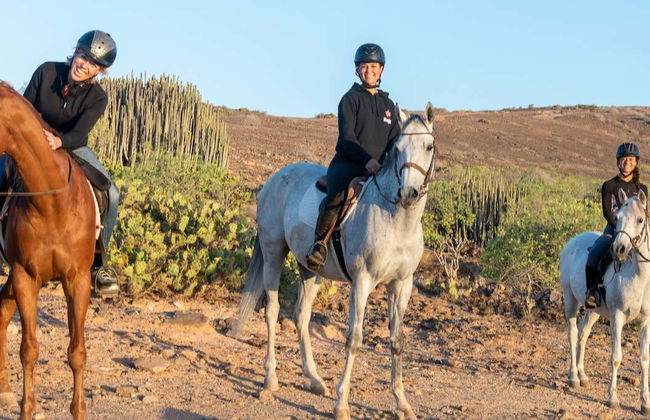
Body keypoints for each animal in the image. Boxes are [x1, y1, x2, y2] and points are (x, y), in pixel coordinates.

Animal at [0, 82, 96, 419]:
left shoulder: (78, 279)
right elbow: (29, 350)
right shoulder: (24, 277)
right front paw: (26, 411)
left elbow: (77, 352)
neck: (51, 204)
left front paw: (79, 411)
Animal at [232, 103, 437, 420]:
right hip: (273, 253)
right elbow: (354, 339)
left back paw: (314, 379)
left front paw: (402, 403)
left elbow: (397, 340)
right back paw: (270, 378)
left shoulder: (402, 284)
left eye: (428, 146)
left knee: (301, 316)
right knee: (272, 311)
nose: (408, 194)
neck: (396, 220)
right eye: (398, 149)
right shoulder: (362, 282)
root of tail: (274, 180)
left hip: (310, 270)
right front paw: (342, 404)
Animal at [560, 189, 650, 414]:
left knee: (583, 334)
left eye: (640, 219)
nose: (618, 249)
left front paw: (645, 403)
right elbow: (616, 357)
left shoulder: (646, 321)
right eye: (617, 218)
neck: (639, 276)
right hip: (570, 300)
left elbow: (644, 359)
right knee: (572, 334)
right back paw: (573, 377)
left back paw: (582, 376)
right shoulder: (617, 317)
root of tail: (573, 241)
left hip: (593, 310)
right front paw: (612, 398)